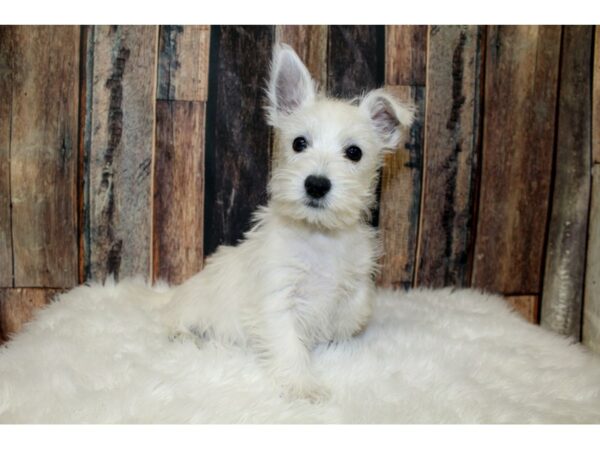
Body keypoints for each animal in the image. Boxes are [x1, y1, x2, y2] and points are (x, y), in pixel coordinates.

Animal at [159, 44, 414, 400]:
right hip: (190, 309)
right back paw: (187, 337)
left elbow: (353, 309)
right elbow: (290, 345)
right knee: (175, 324)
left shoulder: (354, 284)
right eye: (298, 143)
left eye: (354, 152)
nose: (316, 184)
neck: (318, 236)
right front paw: (303, 386)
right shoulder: (278, 297)